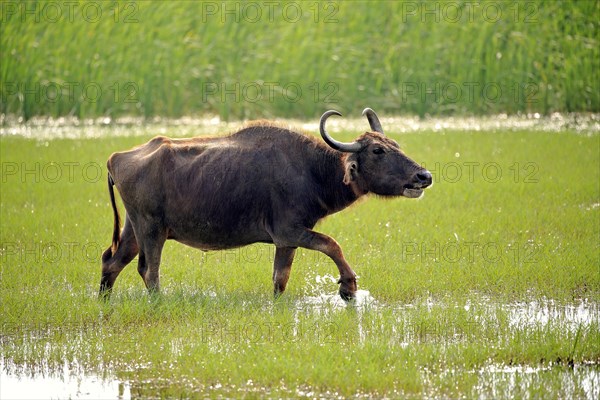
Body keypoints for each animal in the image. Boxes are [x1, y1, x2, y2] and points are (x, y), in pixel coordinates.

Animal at [101, 108, 434, 300]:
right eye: (377, 150)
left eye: (395, 145)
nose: (424, 176)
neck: (313, 170)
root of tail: (116, 158)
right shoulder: (290, 232)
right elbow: (332, 244)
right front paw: (348, 287)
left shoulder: (286, 242)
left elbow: (280, 279)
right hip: (152, 229)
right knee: (149, 271)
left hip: (133, 229)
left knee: (112, 261)